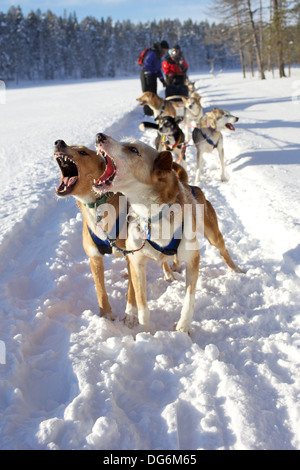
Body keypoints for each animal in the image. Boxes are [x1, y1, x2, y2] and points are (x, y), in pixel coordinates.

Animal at [53, 138, 135, 318]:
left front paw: (130, 314)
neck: (97, 205)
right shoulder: (94, 259)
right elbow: (100, 290)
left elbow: (133, 289)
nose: (59, 142)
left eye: (83, 152)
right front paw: (106, 315)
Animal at [92, 130, 243, 332]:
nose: (99, 136)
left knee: (223, 251)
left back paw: (236, 270)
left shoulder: (193, 259)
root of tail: (189, 185)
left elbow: (189, 299)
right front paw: (144, 333)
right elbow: (142, 305)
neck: (153, 216)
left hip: (213, 235)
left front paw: (183, 328)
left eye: (133, 149)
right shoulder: (137, 263)